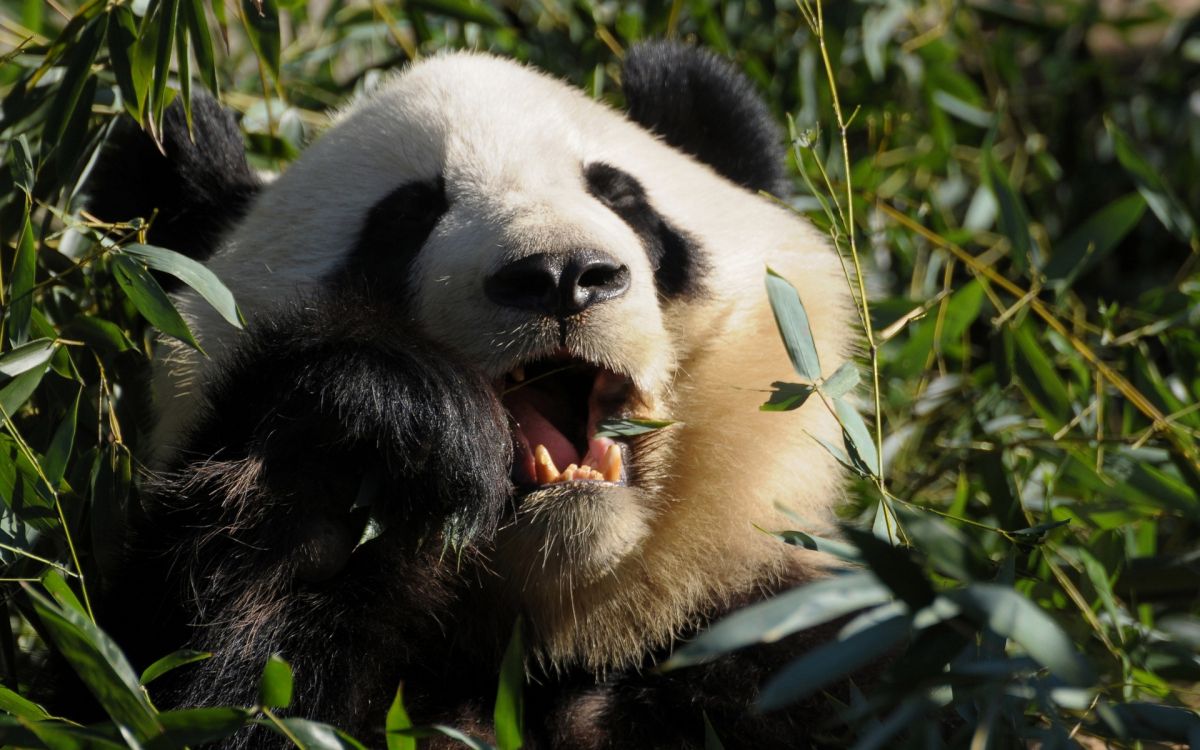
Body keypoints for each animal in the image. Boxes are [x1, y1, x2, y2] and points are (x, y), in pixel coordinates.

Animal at [84, 42, 853, 748]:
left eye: (622, 197)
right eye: (407, 217)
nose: (560, 274)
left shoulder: (782, 628)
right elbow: (215, 682)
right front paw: (397, 428)